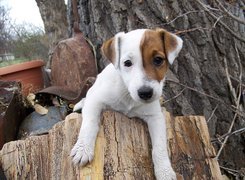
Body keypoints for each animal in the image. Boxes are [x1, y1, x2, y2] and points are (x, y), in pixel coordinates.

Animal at [70, 28, 182, 180]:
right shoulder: (95, 100)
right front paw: (83, 149)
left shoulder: (155, 116)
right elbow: (89, 124)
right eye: (127, 63)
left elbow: (159, 146)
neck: (128, 95)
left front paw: (165, 172)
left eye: (158, 60)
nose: (145, 93)